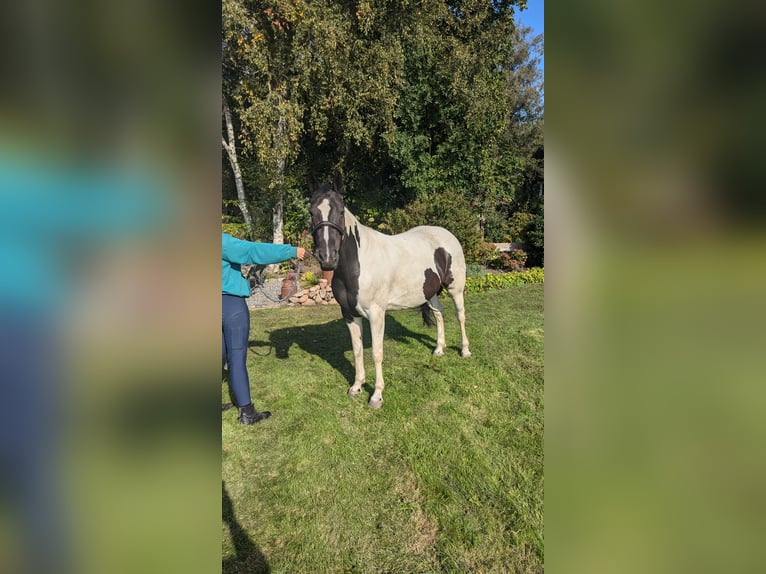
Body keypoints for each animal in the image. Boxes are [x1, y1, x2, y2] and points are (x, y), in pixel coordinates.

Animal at [308, 180, 472, 410]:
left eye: (340, 211)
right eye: (312, 212)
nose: (328, 258)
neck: (359, 263)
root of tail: (447, 236)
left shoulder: (376, 314)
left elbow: (376, 353)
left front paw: (376, 396)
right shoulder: (349, 315)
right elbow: (357, 350)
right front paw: (356, 387)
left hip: (455, 288)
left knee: (460, 316)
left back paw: (465, 351)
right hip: (429, 292)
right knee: (439, 312)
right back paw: (439, 349)